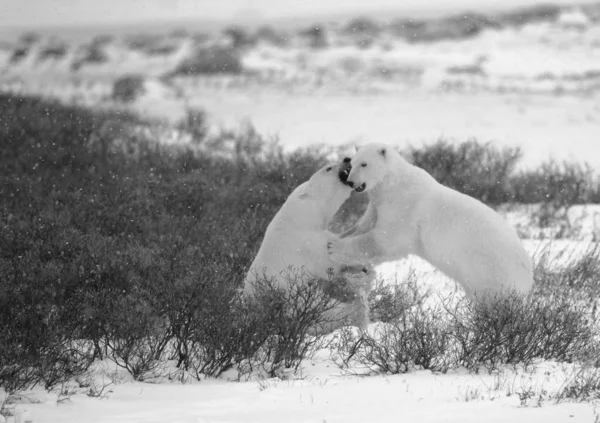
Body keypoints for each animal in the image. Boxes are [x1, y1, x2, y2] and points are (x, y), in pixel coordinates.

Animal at [244, 162, 376, 332]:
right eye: (328, 168)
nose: (347, 160)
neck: (300, 219)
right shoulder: (306, 244)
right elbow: (328, 263)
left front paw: (365, 268)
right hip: (297, 303)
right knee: (327, 312)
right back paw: (358, 308)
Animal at [328, 144, 536, 300]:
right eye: (352, 162)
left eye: (364, 164)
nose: (350, 181)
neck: (391, 185)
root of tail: (528, 272)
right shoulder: (377, 204)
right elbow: (364, 224)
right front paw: (339, 235)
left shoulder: (404, 207)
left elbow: (386, 240)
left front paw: (334, 246)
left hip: (490, 271)